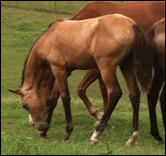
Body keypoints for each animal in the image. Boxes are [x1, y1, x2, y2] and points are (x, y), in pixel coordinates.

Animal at [9, 14, 152, 144]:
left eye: (25, 105)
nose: (38, 126)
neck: (48, 38)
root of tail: (131, 24)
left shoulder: (58, 69)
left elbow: (65, 98)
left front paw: (67, 134)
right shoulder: (63, 72)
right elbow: (53, 99)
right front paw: (45, 133)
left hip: (106, 67)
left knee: (115, 93)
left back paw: (96, 134)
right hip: (126, 65)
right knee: (134, 94)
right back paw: (132, 136)